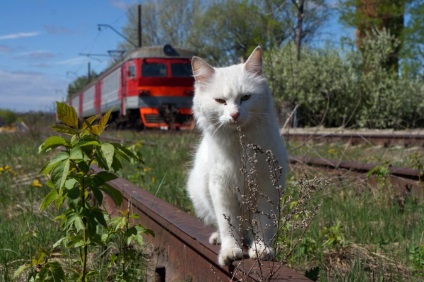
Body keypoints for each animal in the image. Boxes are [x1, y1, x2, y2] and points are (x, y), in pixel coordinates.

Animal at [186, 46, 288, 266]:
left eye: (246, 98)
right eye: (220, 101)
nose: (234, 115)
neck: (241, 149)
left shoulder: (267, 187)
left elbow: (263, 224)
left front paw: (261, 250)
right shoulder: (222, 189)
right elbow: (228, 225)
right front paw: (231, 251)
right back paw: (220, 239)